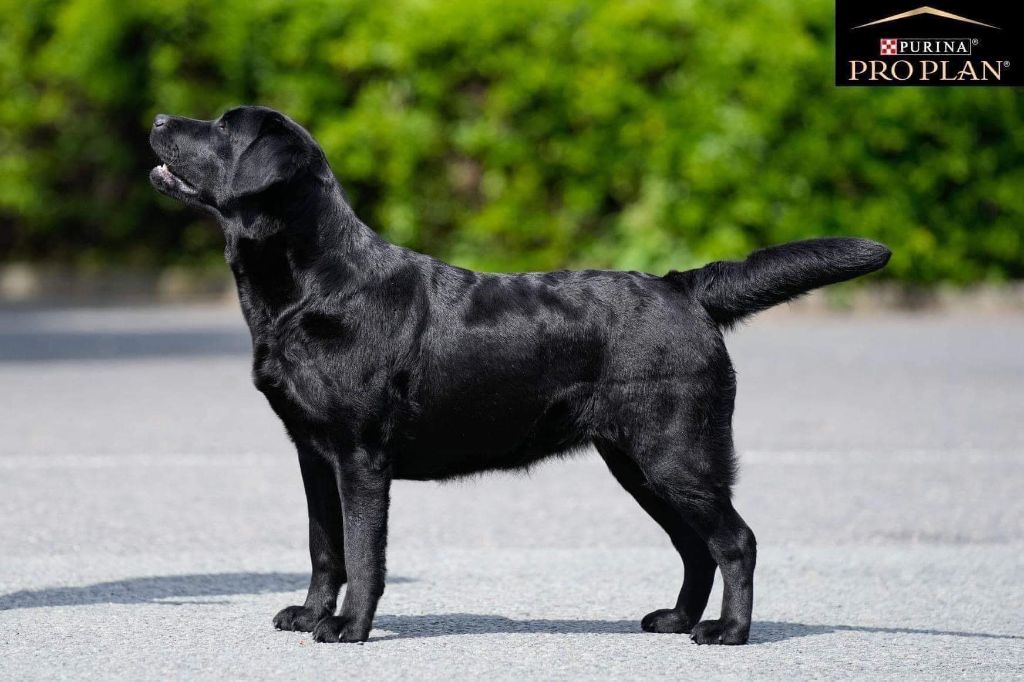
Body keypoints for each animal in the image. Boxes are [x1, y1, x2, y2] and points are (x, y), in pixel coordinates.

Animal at [149, 105, 890, 644]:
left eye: (223, 127)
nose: (157, 118)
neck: (314, 286)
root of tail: (683, 286)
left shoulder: (360, 456)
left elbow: (363, 552)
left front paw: (349, 628)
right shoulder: (312, 452)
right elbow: (323, 546)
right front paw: (310, 614)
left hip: (676, 452)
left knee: (735, 540)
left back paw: (728, 632)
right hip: (638, 463)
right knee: (696, 545)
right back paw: (678, 619)